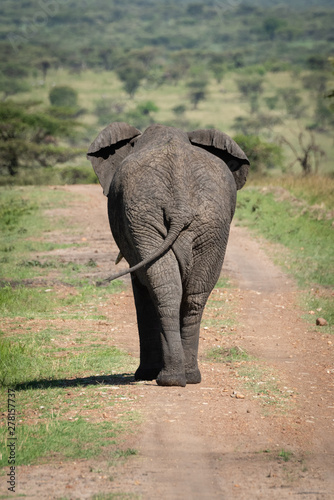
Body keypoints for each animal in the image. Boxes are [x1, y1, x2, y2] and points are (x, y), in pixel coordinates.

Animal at [87, 123, 249, 388]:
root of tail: (180, 206)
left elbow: (141, 287)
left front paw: (144, 375)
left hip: (151, 217)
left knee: (166, 288)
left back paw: (168, 378)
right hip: (204, 222)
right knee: (192, 294)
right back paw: (183, 377)